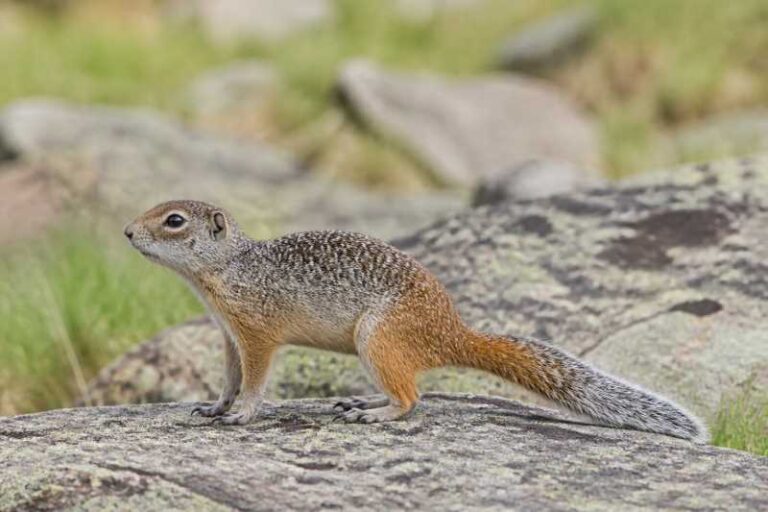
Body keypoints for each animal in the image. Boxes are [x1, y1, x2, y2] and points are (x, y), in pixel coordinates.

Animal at [124, 199, 707, 441]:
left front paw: (243, 414)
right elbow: (228, 379)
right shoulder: (229, 336)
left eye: (173, 221)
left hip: (376, 339)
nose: (128, 231)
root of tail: (452, 333)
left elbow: (257, 380)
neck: (226, 268)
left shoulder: (257, 334)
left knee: (412, 398)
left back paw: (378, 414)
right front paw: (214, 407)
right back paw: (362, 402)